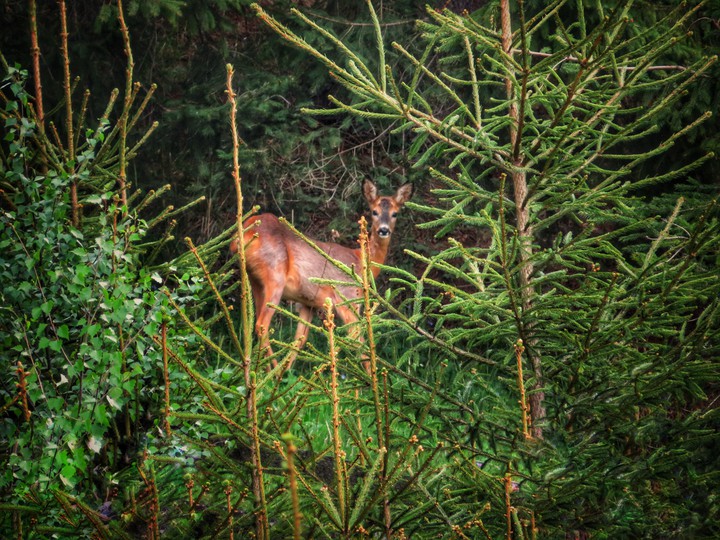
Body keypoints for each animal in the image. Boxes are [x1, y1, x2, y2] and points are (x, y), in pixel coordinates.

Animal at [231, 180, 413, 373]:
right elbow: (359, 342)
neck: (359, 260)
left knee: (253, 323)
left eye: (395, 213)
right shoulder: (347, 300)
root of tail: (242, 236)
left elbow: (299, 340)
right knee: (262, 325)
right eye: (374, 211)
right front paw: (372, 379)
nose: (384, 230)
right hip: (275, 275)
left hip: (255, 281)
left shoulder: (308, 303)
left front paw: (287, 373)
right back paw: (270, 368)